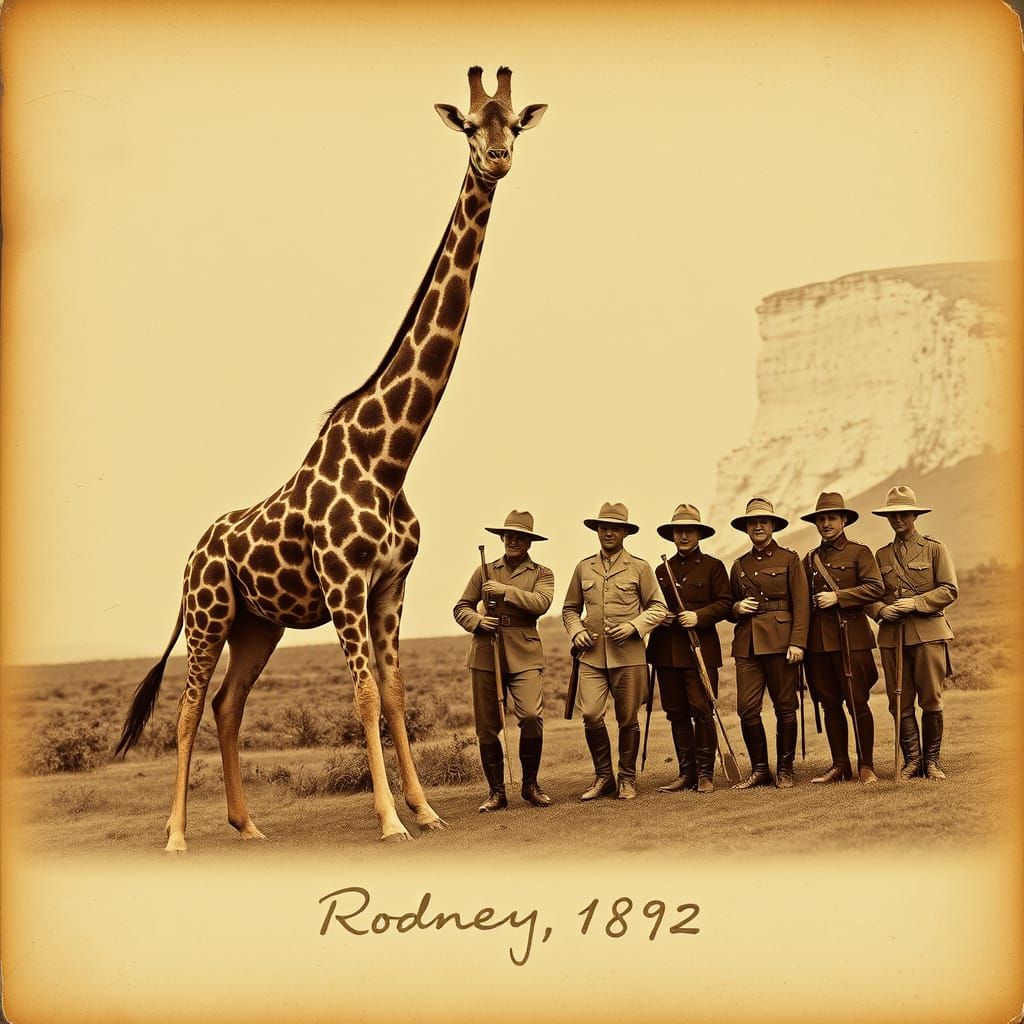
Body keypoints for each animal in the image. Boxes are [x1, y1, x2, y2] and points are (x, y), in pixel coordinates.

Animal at [115, 67, 547, 850]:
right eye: (471, 127)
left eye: (515, 126)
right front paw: (391, 821)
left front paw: (426, 809)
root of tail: (192, 554)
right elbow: (366, 695)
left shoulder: (390, 586)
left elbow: (397, 693)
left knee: (227, 704)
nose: (497, 159)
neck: (391, 453)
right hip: (207, 614)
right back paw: (177, 836)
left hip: (259, 624)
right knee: (188, 708)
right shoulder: (346, 584)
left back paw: (248, 825)